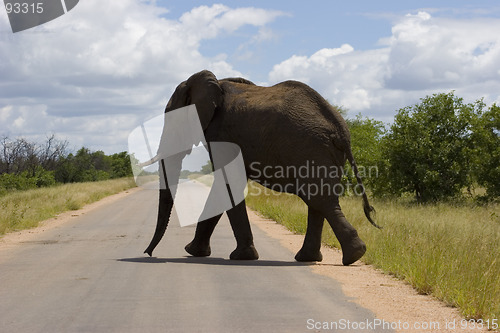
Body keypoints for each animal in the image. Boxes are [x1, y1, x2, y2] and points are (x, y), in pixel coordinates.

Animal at [143, 69, 380, 264]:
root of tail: (340, 128)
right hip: (324, 152)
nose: (148, 253)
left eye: (172, 119)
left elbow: (227, 184)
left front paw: (239, 256)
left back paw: (351, 255)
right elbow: (225, 186)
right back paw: (316, 258)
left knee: (319, 199)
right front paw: (195, 252)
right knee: (319, 200)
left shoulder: (222, 132)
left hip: (310, 149)